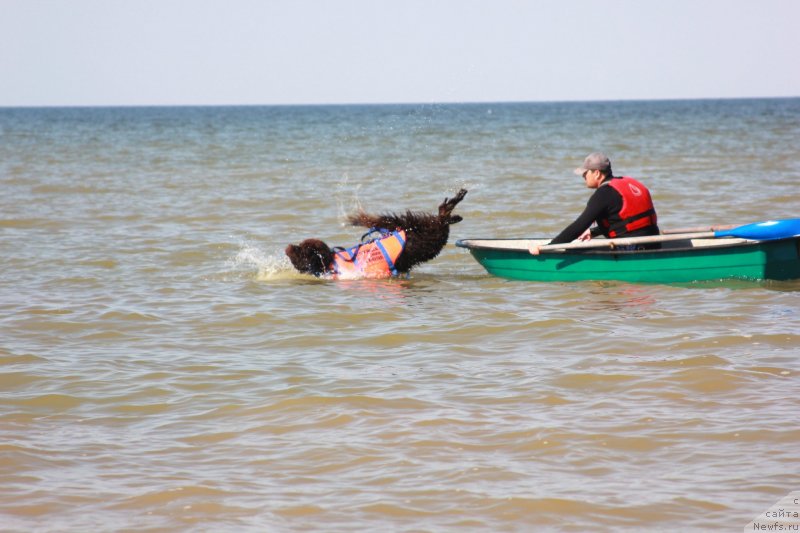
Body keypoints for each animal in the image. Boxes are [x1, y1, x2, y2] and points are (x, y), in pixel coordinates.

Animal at [286, 188, 466, 278]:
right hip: (425, 231)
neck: (330, 263)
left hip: (412, 226)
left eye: (301, 248)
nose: (289, 247)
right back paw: (454, 205)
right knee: (441, 218)